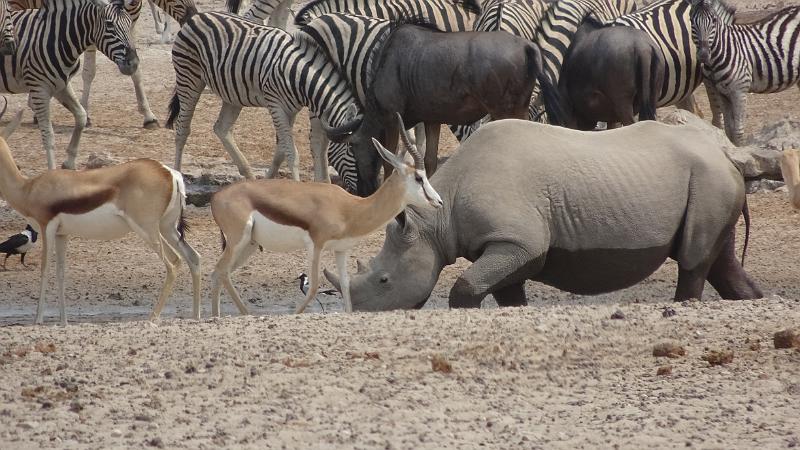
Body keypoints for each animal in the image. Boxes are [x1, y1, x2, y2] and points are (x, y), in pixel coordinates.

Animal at [0, 0, 138, 171]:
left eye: (129, 23)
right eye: (109, 25)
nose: (134, 64)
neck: (58, 39)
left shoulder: (62, 85)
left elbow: (81, 116)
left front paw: (69, 161)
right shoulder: (40, 89)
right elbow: (48, 135)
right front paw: (52, 171)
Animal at [0, 99, 202, 324]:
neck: (28, 188)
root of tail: (168, 172)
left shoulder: (47, 227)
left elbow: (44, 269)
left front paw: (38, 320)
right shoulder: (62, 234)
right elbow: (61, 272)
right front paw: (63, 321)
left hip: (147, 230)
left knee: (173, 263)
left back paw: (152, 317)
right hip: (167, 228)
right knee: (193, 257)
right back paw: (196, 315)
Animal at [169, 11, 362, 183]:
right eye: (352, 149)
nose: (364, 190)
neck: (298, 75)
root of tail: (197, 16)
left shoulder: (291, 109)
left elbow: (281, 151)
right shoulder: (276, 105)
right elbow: (291, 153)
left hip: (233, 91)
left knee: (221, 128)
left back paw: (250, 177)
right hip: (189, 77)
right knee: (182, 130)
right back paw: (179, 177)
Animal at [209, 114, 444, 314]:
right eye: (419, 178)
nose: (439, 202)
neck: (351, 208)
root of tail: (217, 197)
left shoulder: (341, 250)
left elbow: (346, 287)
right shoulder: (316, 245)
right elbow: (313, 287)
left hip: (248, 245)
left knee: (219, 273)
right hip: (238, 240)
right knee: (221, 270)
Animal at [688, 0, 800, 145]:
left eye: (714, 21)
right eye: (691, 21)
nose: (703, 55)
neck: (726, 48)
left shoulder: (739, 91)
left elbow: (738, 131)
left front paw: (740, 148)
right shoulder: (721, 92)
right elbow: (729, 129)